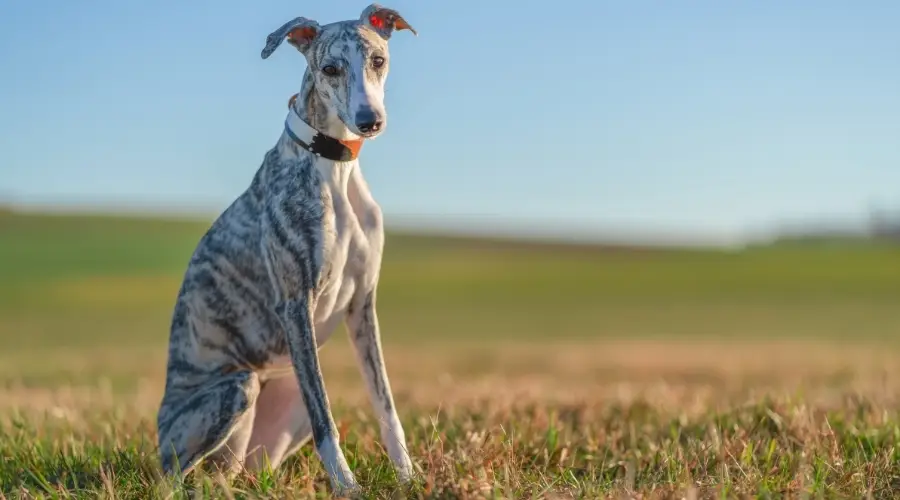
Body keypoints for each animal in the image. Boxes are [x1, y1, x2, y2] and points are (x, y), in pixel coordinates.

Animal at [156, 3, 418, 494]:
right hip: (234, 391)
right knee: (172, 478)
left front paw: (409, 478)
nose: (369, 121)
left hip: (277, 413)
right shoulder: (296, 303)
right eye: (330, 68)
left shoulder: (362, 303)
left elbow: (387, 404)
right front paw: (348, 488)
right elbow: (326, 421)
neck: (333, 168)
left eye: (378, 60)